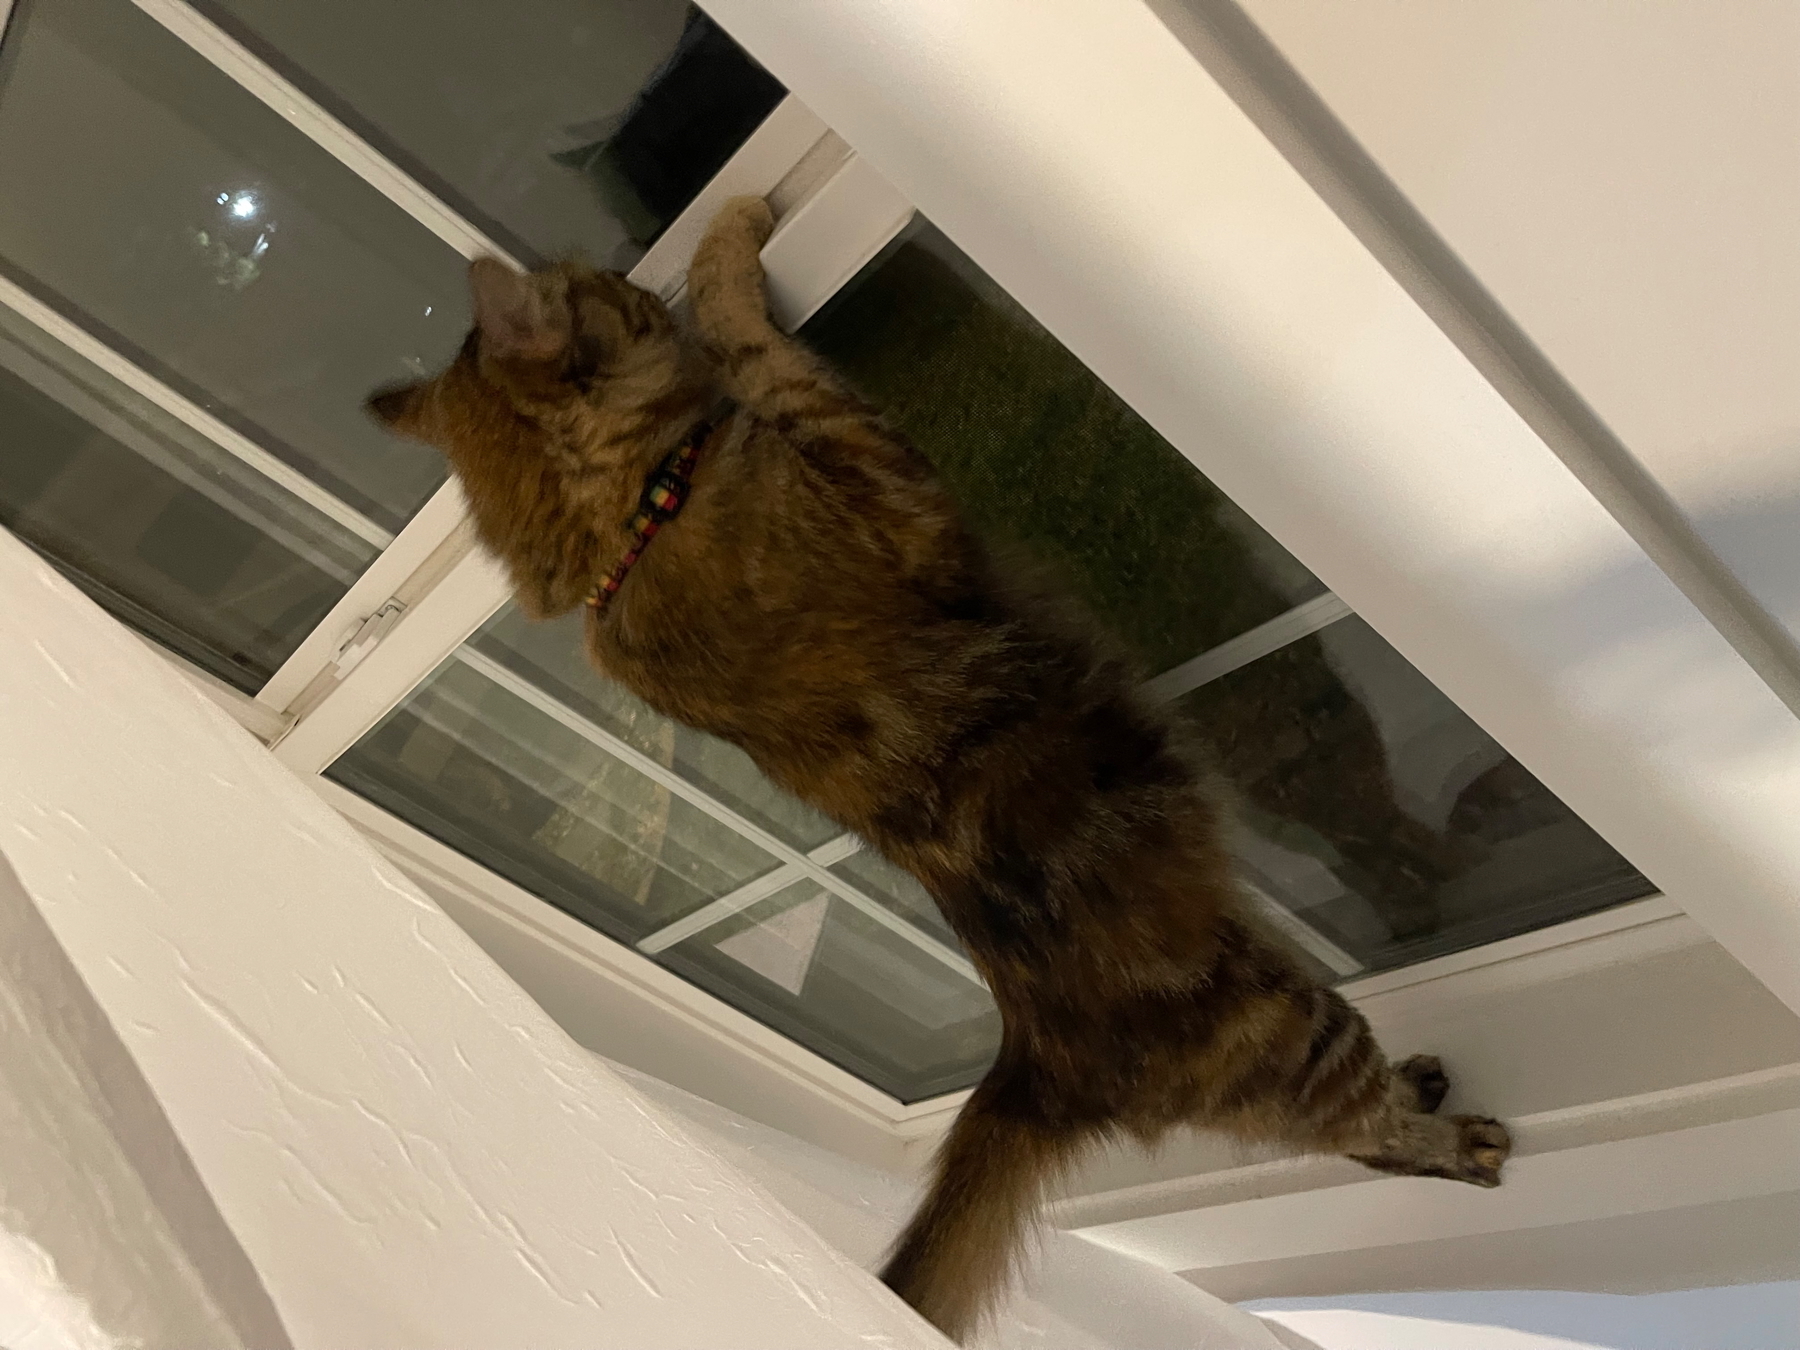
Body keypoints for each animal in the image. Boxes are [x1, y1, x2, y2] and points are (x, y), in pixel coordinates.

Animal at [361, 195, 1504, 1346]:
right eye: (612, 291)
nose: (636, 275)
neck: (631, 530)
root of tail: (1035, 1057)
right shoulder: (863, 450)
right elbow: (753, 341)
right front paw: (729, 241)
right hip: (1304, 1022)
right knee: (1370, 1125)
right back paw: (1461, 1120)